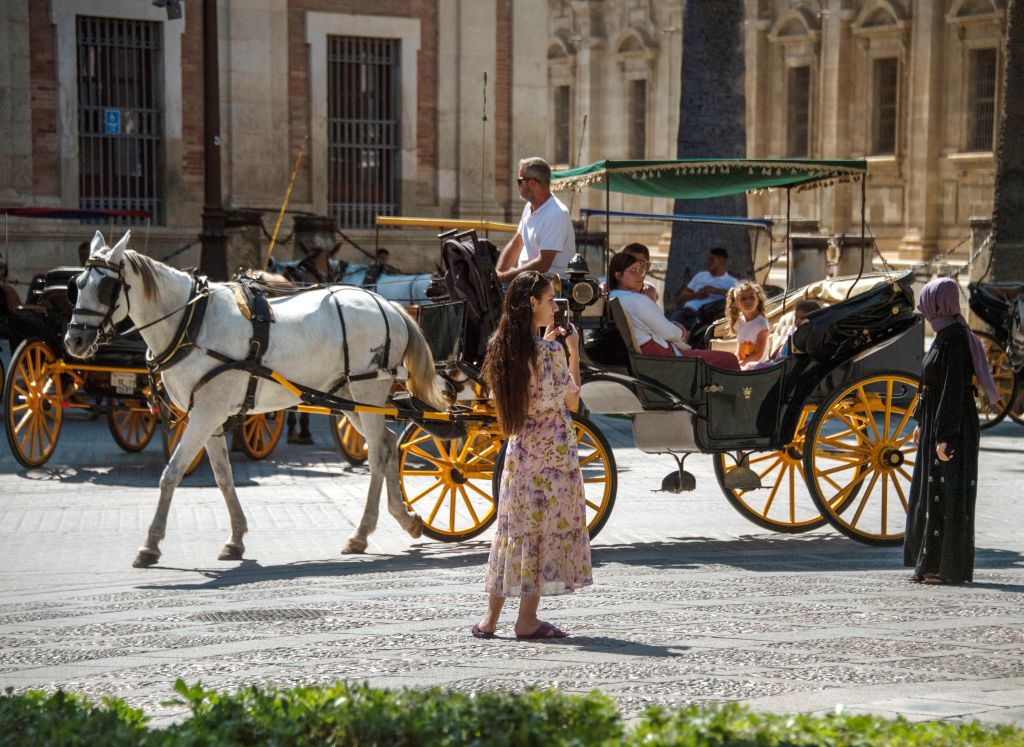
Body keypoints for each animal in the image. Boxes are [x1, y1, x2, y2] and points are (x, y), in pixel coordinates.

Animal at [64, 231, 444, 565]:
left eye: (106, 287)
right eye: (77, 285)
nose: (74, 341)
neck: (191, 322)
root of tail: (387, 305)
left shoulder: (205, 414)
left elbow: (171, 473)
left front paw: (150, 545)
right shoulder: (209, 415)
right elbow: (222, 476)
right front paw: (235, 538)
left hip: (368, 391)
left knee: (378, 454)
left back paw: (362, 531)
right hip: (347, 395)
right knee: (388, 444)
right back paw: (402, 518)